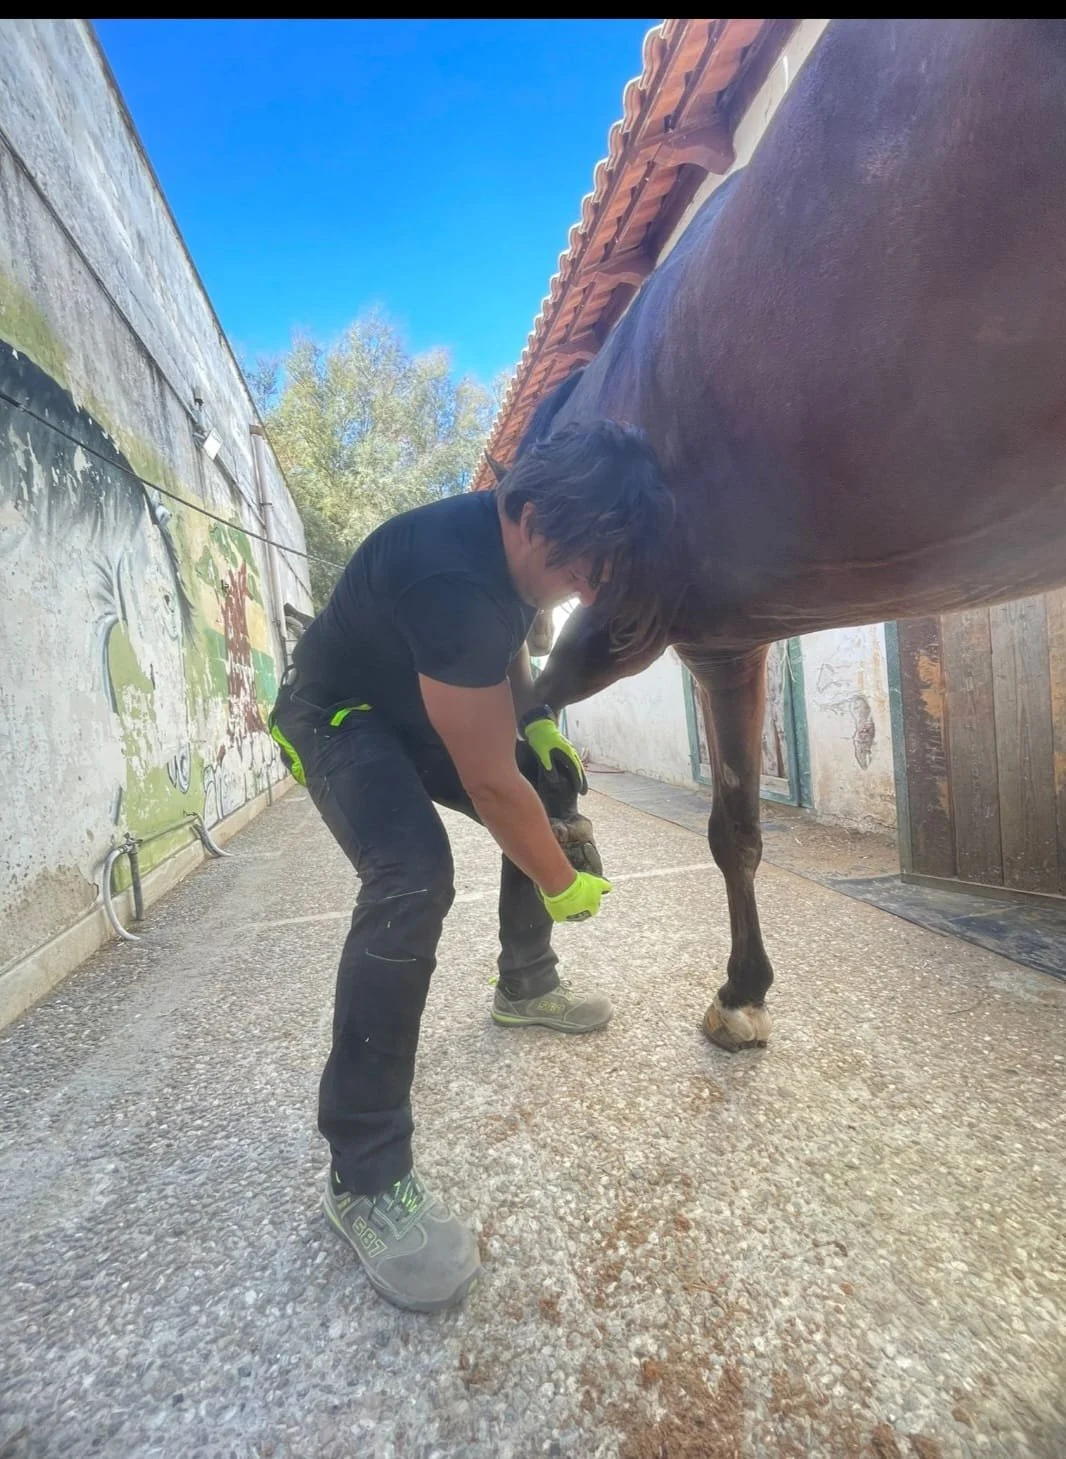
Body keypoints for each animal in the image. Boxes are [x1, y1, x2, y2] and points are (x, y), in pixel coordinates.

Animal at [496, 19, 1066, 1051]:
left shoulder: (629, 622)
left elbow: (531, 725)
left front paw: (550, 898)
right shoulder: (726, 643)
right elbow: (735, 829)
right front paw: (743, 992)